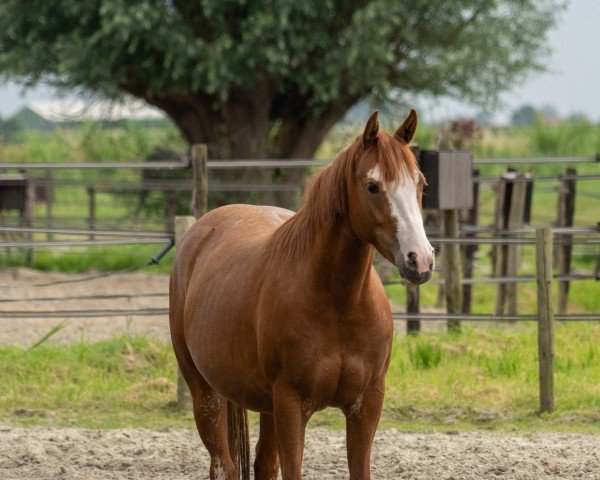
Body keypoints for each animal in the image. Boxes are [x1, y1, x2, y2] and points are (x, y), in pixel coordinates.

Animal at [171, 109, 434, 480]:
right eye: (372, 186)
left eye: (421, 184)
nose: (420, 260)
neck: (340, 304)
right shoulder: (291, 406)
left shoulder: (366, 405)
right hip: (206, 395)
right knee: (224, 466)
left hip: (263, 405)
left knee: (263, 465)